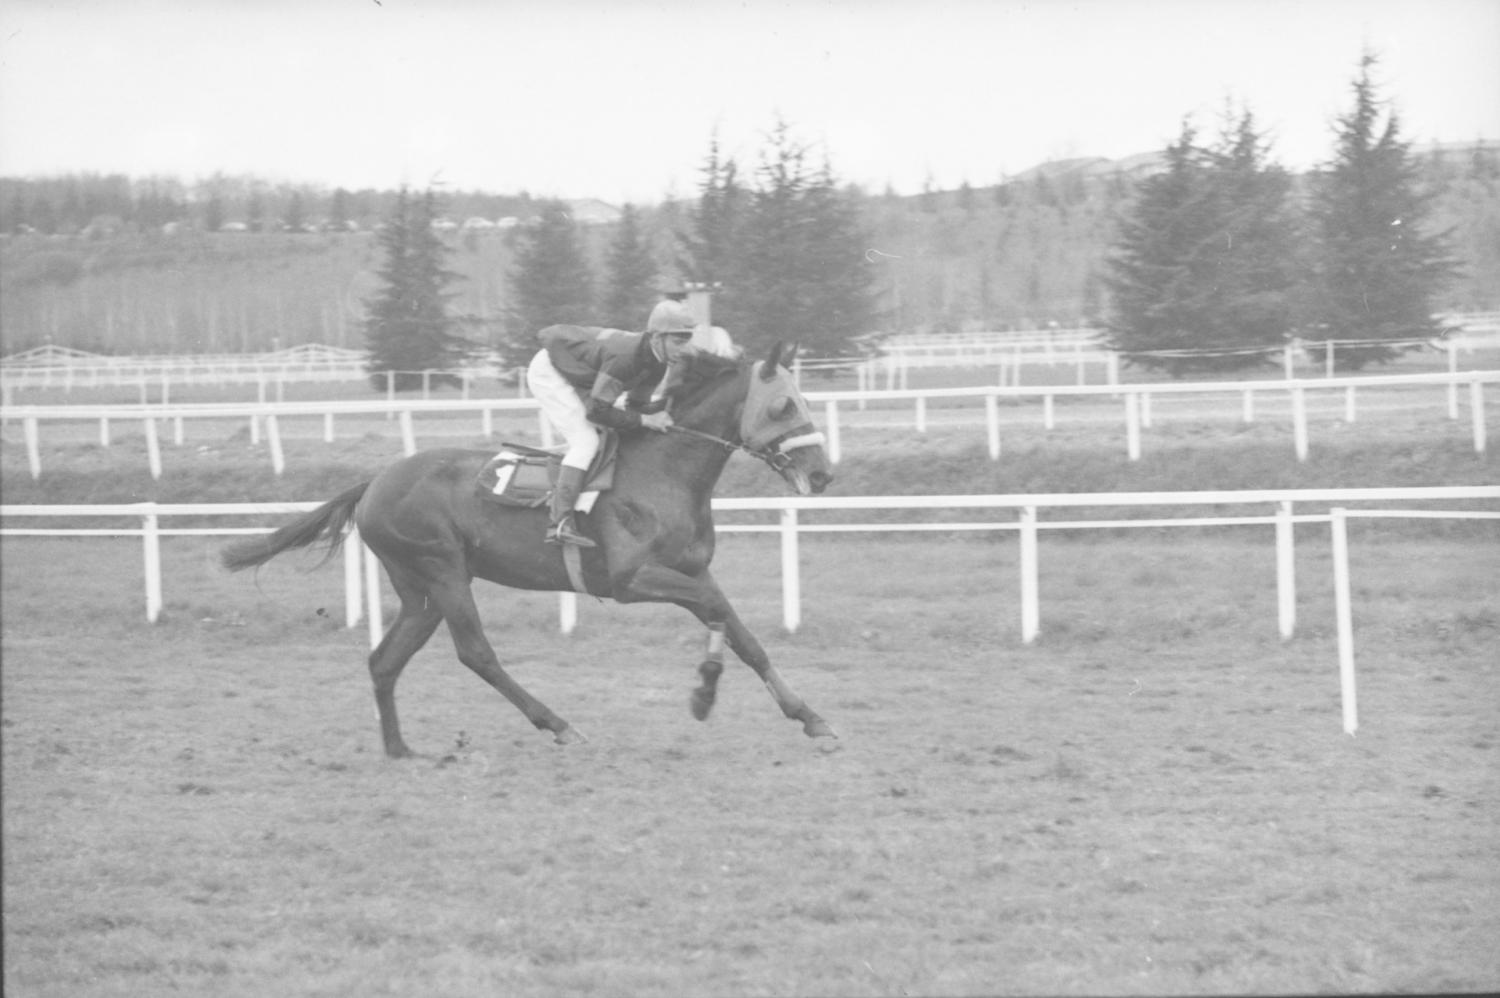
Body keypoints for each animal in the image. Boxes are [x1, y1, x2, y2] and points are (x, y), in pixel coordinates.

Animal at [222, 340, 840, 756]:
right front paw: (704, 693)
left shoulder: (694, 572)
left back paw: (400, 749)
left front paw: (811, 717)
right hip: (443, 570)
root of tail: (374, 482)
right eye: (784, 406)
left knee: (385, 660)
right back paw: (558, 725)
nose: (823, 473)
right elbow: (716, 617)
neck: (663, 472)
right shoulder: (629, 581)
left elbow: (743, 635)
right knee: (476, 653)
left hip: (419, 589)